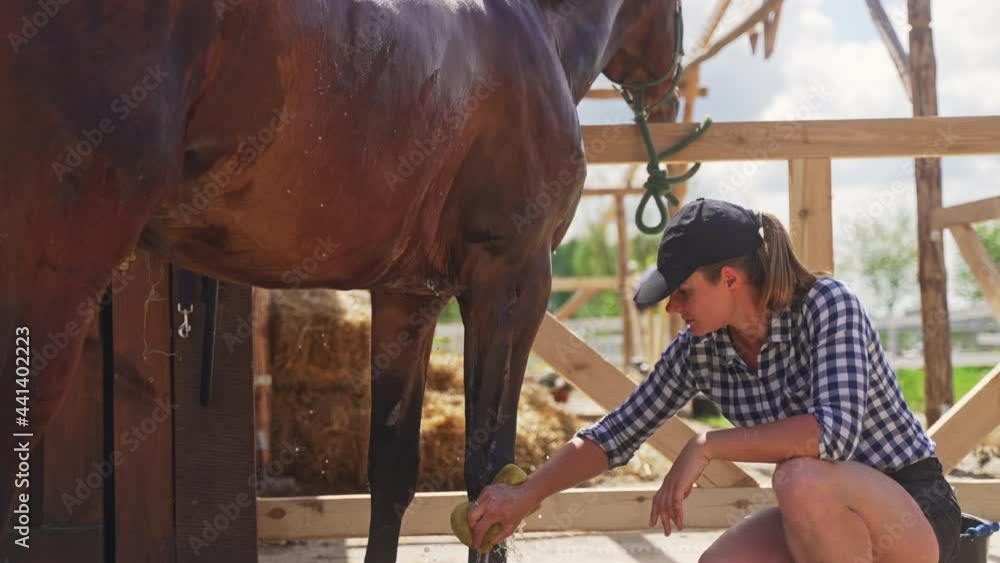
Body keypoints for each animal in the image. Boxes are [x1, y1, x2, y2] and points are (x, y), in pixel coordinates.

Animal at [0, 0, 683, 560]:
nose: (671, 101)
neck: (533, 31)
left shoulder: (409, 300)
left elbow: (393, 471)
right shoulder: (512, 281)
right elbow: (490, 477)